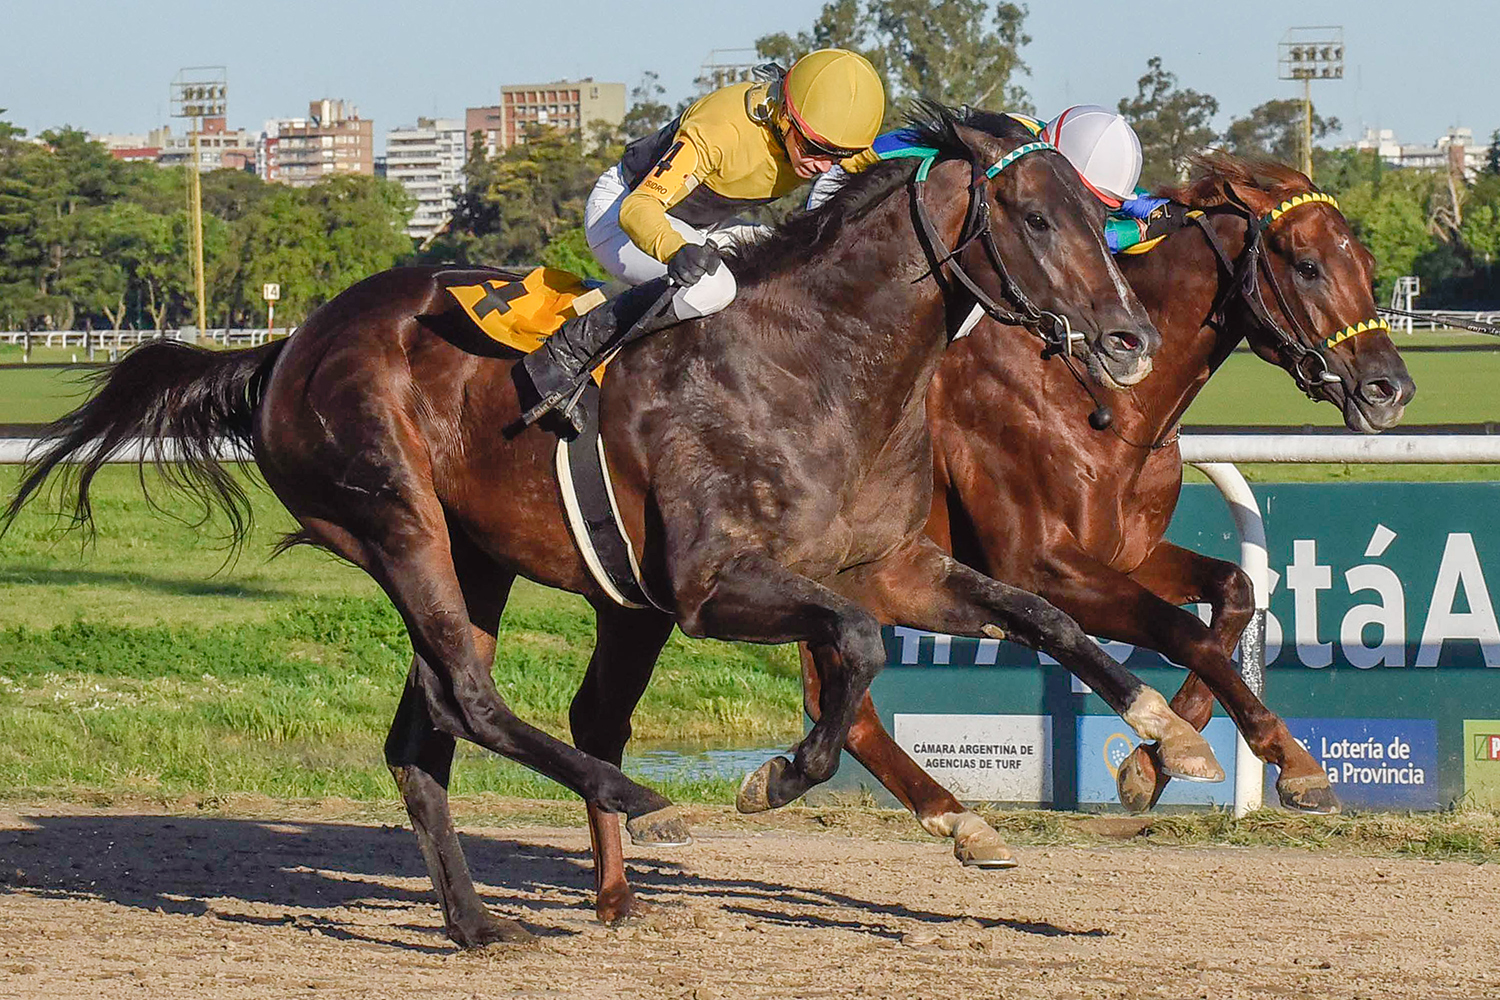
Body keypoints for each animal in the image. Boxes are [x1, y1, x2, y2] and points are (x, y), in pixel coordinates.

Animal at [4, 105, 1197, 944]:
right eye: (1036, 220)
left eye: (1100, 219)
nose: (1129, 342)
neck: (820, 366)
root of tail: (285, 347)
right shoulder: (715, 588)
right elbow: (855, 648)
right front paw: (774, 777)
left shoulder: (894, 562)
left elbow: (1045, 615)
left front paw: (1165, 733)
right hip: (394, 520)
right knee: (470, 696)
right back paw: (645, 805)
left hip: (475, 553)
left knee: (426, 733)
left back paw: (482, 923)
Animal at [792, 152, 1416, 858]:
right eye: (1308, 266)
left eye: (1368, 264)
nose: (1391, 388)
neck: (1100, 397)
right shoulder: (1039, 567)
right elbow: (1182, 631)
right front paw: (1286, 759)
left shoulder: (1125, 554)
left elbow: (1233, 593)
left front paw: (1152, 762)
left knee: (842, 707)